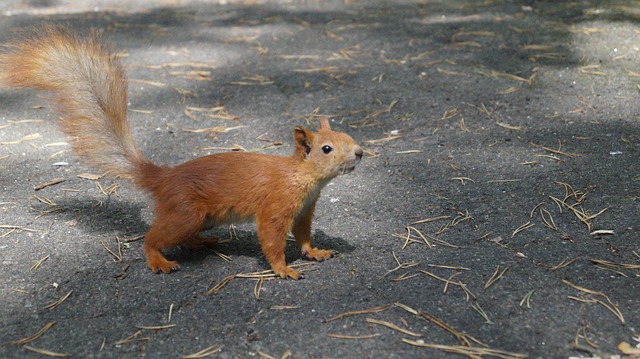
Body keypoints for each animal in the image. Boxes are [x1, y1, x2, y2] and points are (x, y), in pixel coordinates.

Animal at [0, 26, 362, 282]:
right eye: (327, 149)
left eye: (349, 136)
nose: (360, 153)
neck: (301, 177)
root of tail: (162, 178)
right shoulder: (276, 206)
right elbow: (272, 239)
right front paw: (283, 269)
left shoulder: (304, 210)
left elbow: (303, 235)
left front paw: (315, 252)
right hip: (187, 212)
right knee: (152, 237)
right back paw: (159, 259)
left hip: (201, 217)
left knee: (182, 237)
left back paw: (200, 243)